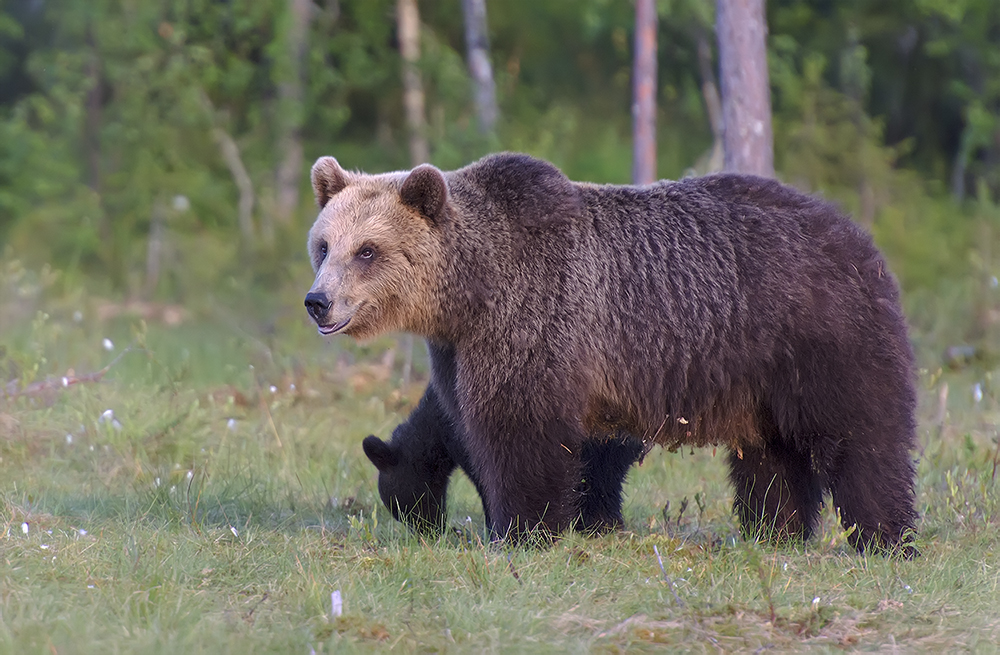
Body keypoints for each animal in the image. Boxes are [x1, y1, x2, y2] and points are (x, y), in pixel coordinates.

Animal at [306, 152, 920, 552]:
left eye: (367, 250)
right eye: (323, 245)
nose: (318, 301)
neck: (472, 290)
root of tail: (856, 235)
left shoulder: (537, 318)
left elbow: (523, 433)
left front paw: (523, 531)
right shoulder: (459, 350)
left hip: (821, 338)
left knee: (862, 436)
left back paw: (885, 537)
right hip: (760, 375)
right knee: (771, 455)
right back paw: (776, 532)